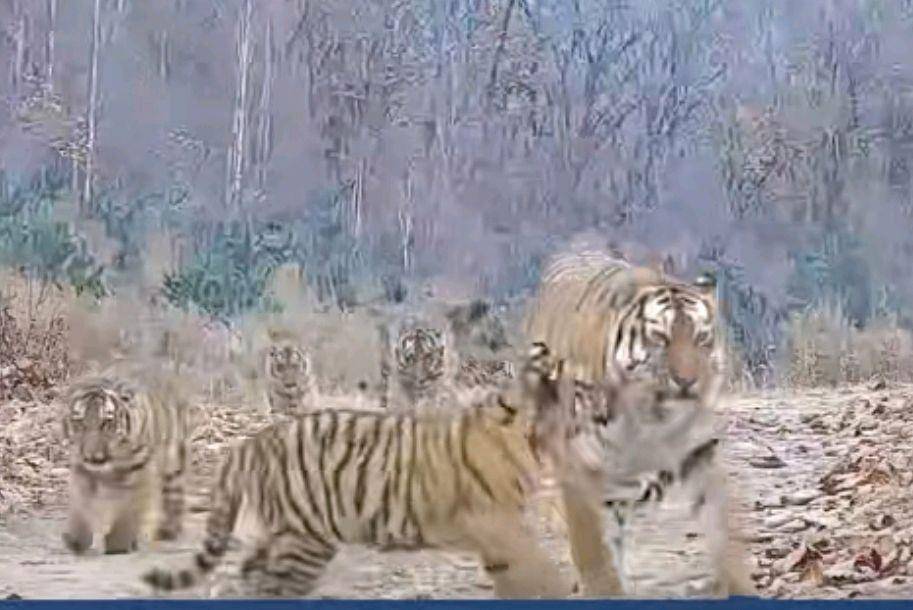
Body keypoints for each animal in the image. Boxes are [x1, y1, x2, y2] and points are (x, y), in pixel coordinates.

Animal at [60, 371, 193, 555]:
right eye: (79, 422)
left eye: (106, 422)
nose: (93, 456)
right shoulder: (82, 471)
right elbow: (81, 507)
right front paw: (76, 539)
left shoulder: (141, 472)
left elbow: (129, 513)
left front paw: (118, 544)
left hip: (173, 465)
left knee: (172, 498)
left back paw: (167, 531)